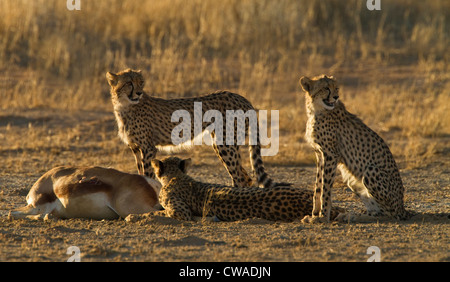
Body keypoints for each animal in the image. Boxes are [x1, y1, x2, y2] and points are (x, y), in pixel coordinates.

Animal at [106, 68, 278, 187]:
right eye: (129, 83)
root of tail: (240, 97)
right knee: (245, 176)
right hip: (223, 143)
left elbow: (148, 175)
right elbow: (140, 173)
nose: (139, 93)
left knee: (240, 177)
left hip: (225, 144)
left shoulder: (148, 148)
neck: (125, 106)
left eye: (140, 82)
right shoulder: (135, 148)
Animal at [298, 74, 412, 223]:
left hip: (370, 171)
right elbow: (318, 186)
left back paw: (352, 216)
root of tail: (402, 207)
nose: (336, 97)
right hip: (352, 180)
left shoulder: (330, 155)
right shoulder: (319, 154)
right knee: (379, 211)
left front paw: (322, 217)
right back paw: (351, 215)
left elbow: (325, 188)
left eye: (336, 88)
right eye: (326, 88)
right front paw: (314, 214)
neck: (316, 110)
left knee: (390, 214)